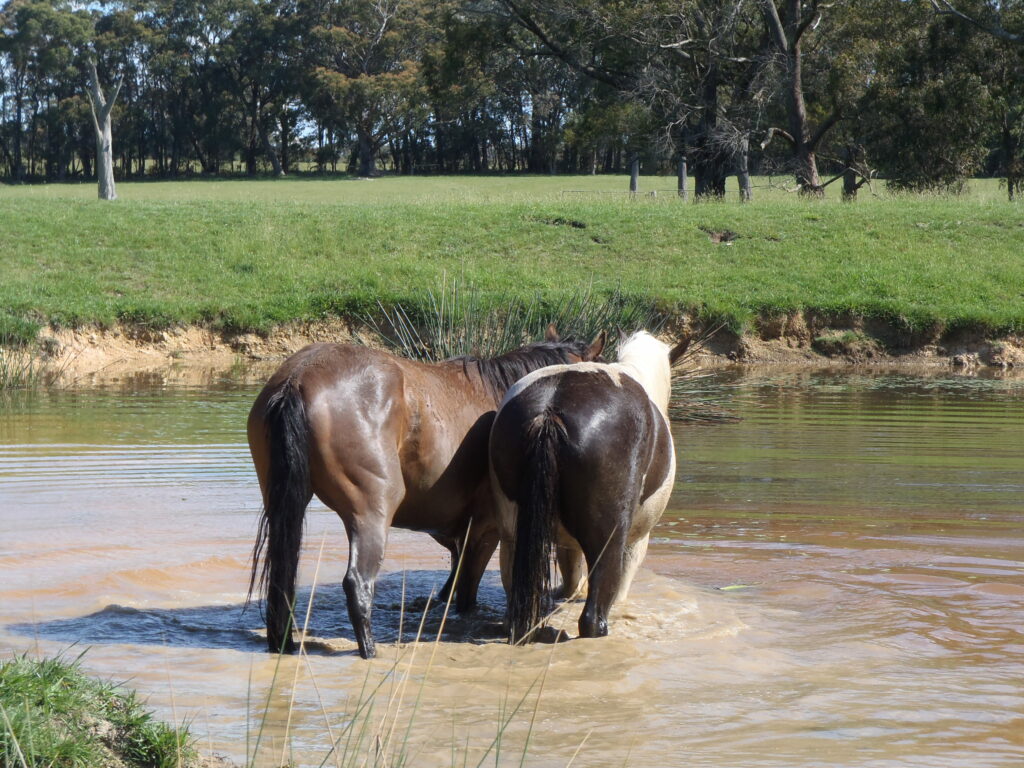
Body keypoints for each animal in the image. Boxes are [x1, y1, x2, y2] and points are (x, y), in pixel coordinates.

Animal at [247, 325, 606, 659]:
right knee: (357, 583)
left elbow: (452, 587)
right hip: (372, 511)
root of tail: (299, 377)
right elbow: (465, 593)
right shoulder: (484, 529)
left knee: (282, 576)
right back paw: (370, 650)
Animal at [489, 330, 690, 643]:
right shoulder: (635, 544)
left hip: (514, 532)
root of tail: (549, 411)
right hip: (609, 539)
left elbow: (571, 576)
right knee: (593, 616)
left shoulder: (564, 543)